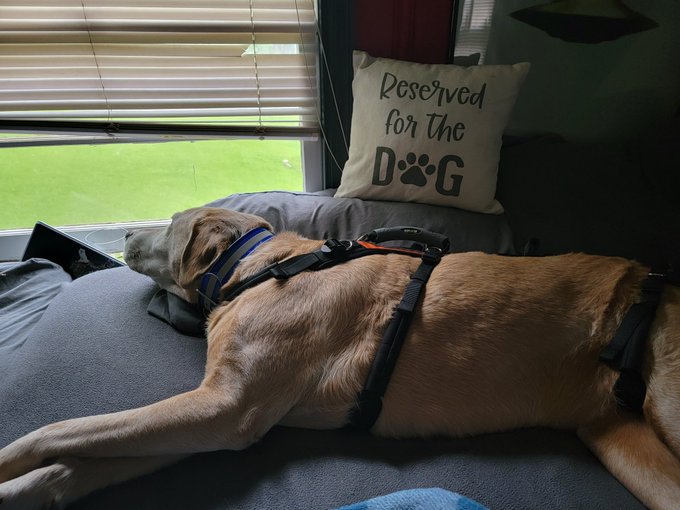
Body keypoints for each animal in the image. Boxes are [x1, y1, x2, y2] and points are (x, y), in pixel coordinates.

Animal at [1, 205, 680, 508]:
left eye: (170, 224)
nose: (121, 235)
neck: (267, 265)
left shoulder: (224, 407)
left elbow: (57, 430)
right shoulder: (222, 418)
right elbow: (78, 459)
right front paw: (32, 490)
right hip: (622, 440)